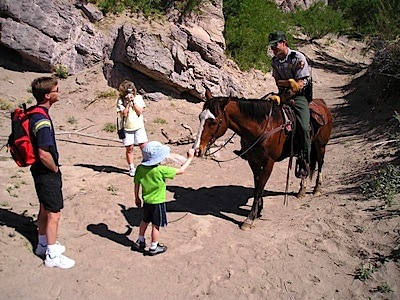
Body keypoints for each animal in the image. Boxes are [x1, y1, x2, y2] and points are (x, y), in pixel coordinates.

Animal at [194, 96, 334, 230]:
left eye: (213, 121)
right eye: (200, 118)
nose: (197, 150)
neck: (261, 128)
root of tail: (321, 103)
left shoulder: (268, 163)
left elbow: (259, 187)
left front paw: (249, 219)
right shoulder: (253, 162)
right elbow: (257, 186)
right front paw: (258, 210)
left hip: (320, 145)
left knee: (320, 163)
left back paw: (317, 188)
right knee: (304, 163)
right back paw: (302, 190)